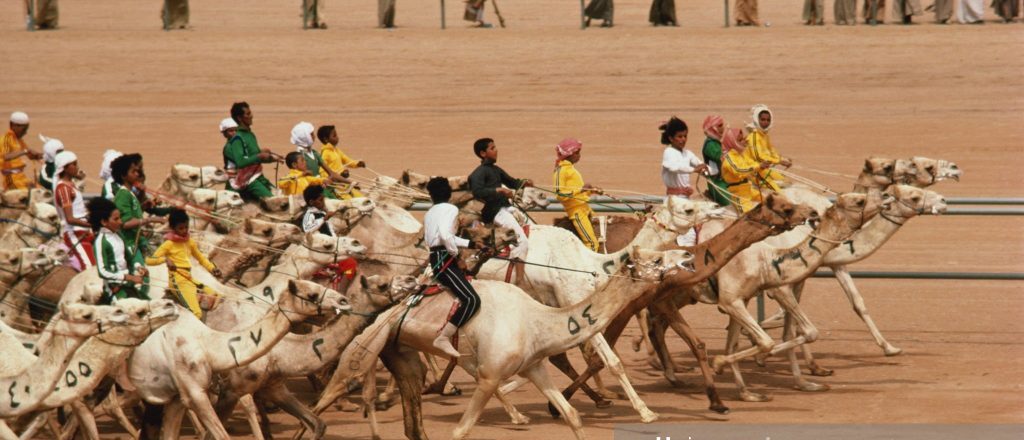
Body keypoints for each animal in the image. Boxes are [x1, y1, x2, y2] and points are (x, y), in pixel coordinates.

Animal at [307, 245, 692, 440]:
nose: (688, 257)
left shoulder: (534, 367)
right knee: (327, 397)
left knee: (412, 421)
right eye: (657, 258)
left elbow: (572, 416)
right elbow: (460, 430)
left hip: (399, 353)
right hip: (364, 349)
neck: (535, 320)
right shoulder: (490, 375)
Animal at [473, 196, 729, 423]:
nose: (718, 206)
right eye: (688, 209)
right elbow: (611, 361)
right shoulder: (578, 304)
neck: (592, 264)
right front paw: (645, 412)